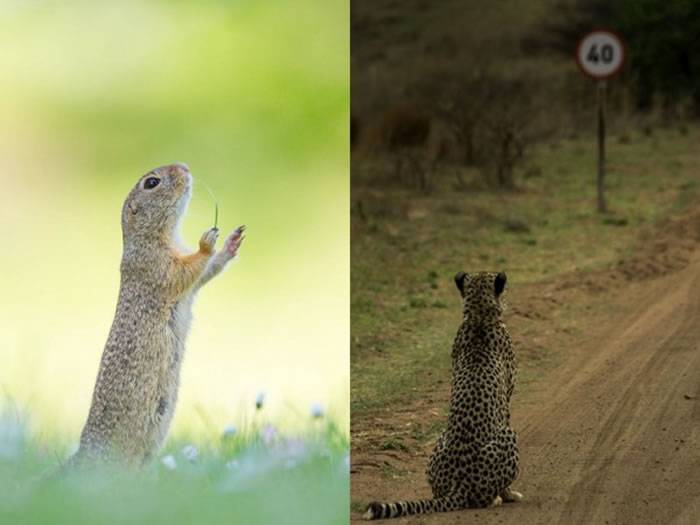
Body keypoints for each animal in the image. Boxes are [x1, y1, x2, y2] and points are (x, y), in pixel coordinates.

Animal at [72, 162, 243, 464]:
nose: (185, 166)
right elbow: (186, 271)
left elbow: (205, 273)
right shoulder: (156, 264)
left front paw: (231, 242)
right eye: (152, 183)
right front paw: (207, 243)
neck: (155, 236)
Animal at [366, 272, 520, 516]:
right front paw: (510, 493)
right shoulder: (507, 400)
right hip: (509, 434)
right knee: (482, 499)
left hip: (439, 444)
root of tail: (459, 485)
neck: (478, 317)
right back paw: (498, 498)